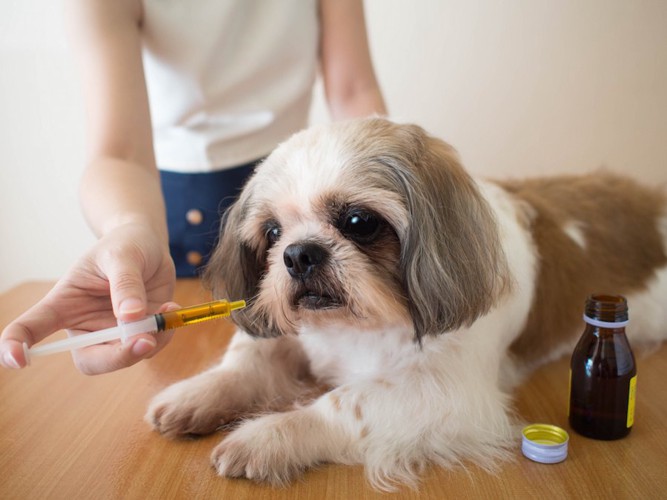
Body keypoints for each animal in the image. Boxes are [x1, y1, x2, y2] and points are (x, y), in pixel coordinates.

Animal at [145, 116, 667, 488]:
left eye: (358, 222)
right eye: (272, 233)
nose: (298, 253)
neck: (358, 329)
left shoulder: (445, 393)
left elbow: (344, 403)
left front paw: (266, 436)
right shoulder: (295, 337)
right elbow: (249, 362)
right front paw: (200, 394)